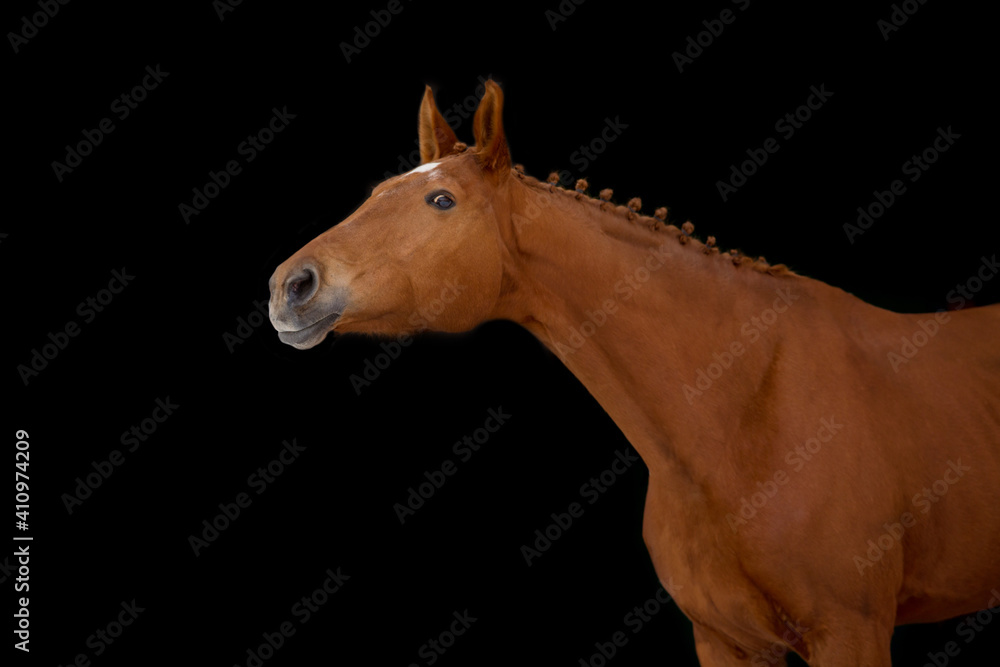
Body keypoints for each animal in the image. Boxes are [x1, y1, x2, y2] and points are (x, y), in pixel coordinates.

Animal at [267, 80, 1000, 665]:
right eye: (376, 192)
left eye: (441, 200)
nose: (290, 286)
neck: (742, 416)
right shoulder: (726, 642)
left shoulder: (852, 634)